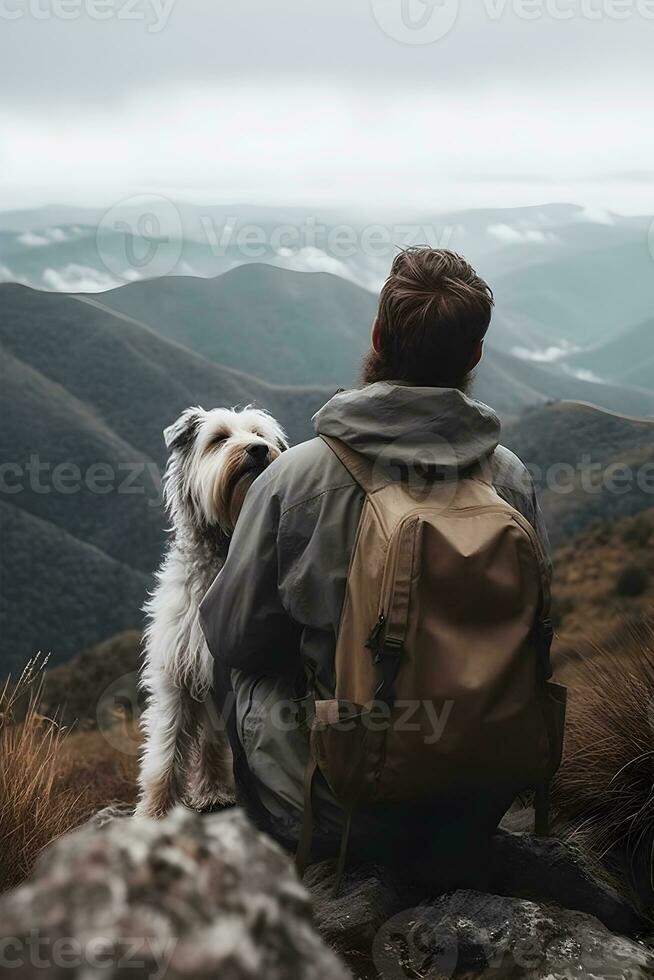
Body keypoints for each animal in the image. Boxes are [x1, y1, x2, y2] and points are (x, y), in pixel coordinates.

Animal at [137, 406, 288, 820]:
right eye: (219, 439)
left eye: (260, 435)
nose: (257, 449)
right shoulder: (177, 669)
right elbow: (167, 743)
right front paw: (155, 810)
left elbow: (212, 740)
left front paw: (213, 792)